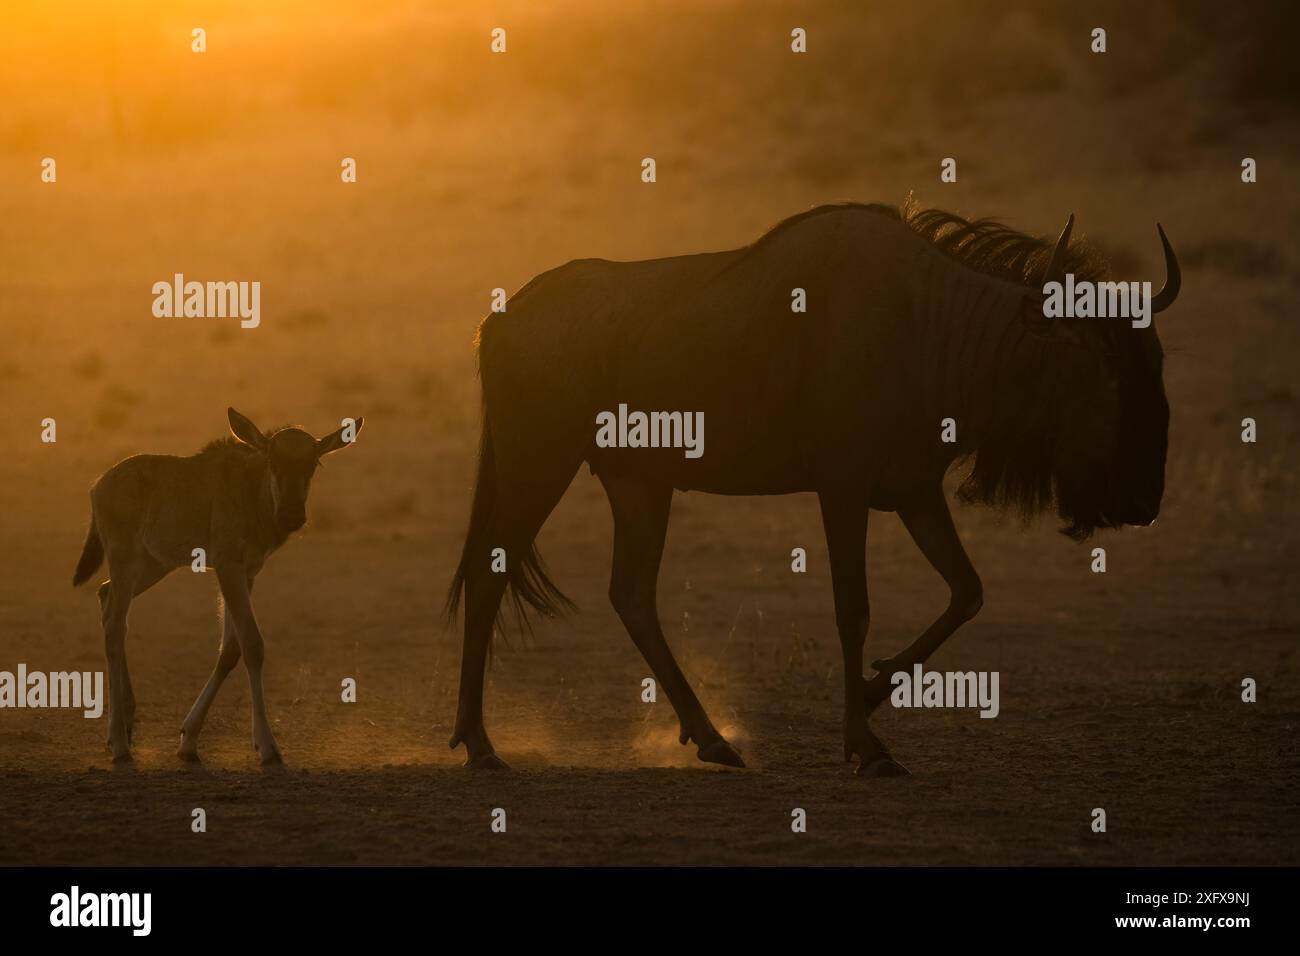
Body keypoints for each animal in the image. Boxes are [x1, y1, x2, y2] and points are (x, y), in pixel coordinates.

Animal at [73, 408, 364, 764]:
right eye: (272, 461)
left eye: (313, 464)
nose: (292, 516)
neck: (252, 493)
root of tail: (98, 486)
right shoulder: (228, 568)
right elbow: (252, 644)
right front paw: (267, 746)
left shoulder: (248, 573)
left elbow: (230, 650)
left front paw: (188, 740)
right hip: (125, 558)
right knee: (115, 626)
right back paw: (118, 743)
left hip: (155, 564)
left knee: (106, 596)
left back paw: (126, 723)